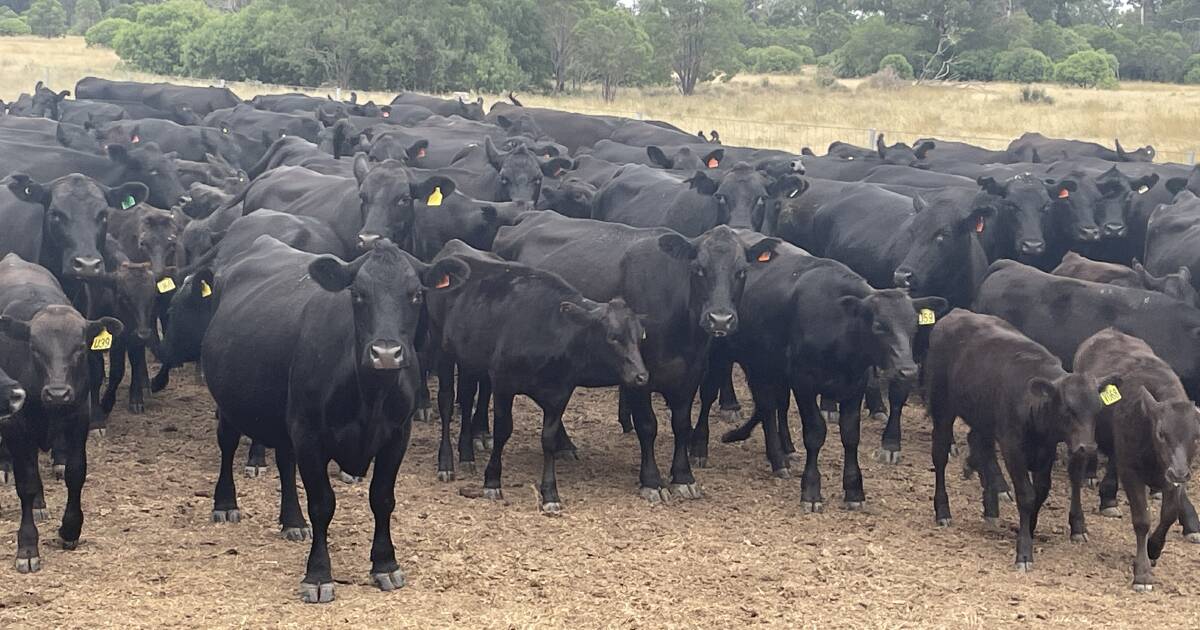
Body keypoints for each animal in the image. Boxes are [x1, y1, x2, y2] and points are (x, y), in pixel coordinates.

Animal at [0, 253, 121, 571]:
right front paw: (28, 546)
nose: (57, 393)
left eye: (79, 347)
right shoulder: (17, 424)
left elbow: (76, 473)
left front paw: (70, 529)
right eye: (34, 347)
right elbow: (27, 483)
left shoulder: (78, 418)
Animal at [921, 307, 1118, 568]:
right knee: (940, 454)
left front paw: (1029, 528)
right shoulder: (1012, 447)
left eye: (1097, 409)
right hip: (943, 407)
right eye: (1067, 410)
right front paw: (1024, 550)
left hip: (982, 418)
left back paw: (990, 508)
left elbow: (1041, 491)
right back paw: (943, 511)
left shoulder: (1046, 450)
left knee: (981, 446)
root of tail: (956, 312)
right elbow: (1026, 494)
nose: (1088, 448)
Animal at [1075, 328, 1200, 590]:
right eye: (1162, 433)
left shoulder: (1173, 479)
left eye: (1196, 436)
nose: (1178, 472)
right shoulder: (1132, 472)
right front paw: (1142, 573)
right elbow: (1142, 519)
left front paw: (1153, 549)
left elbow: (1169, 514)